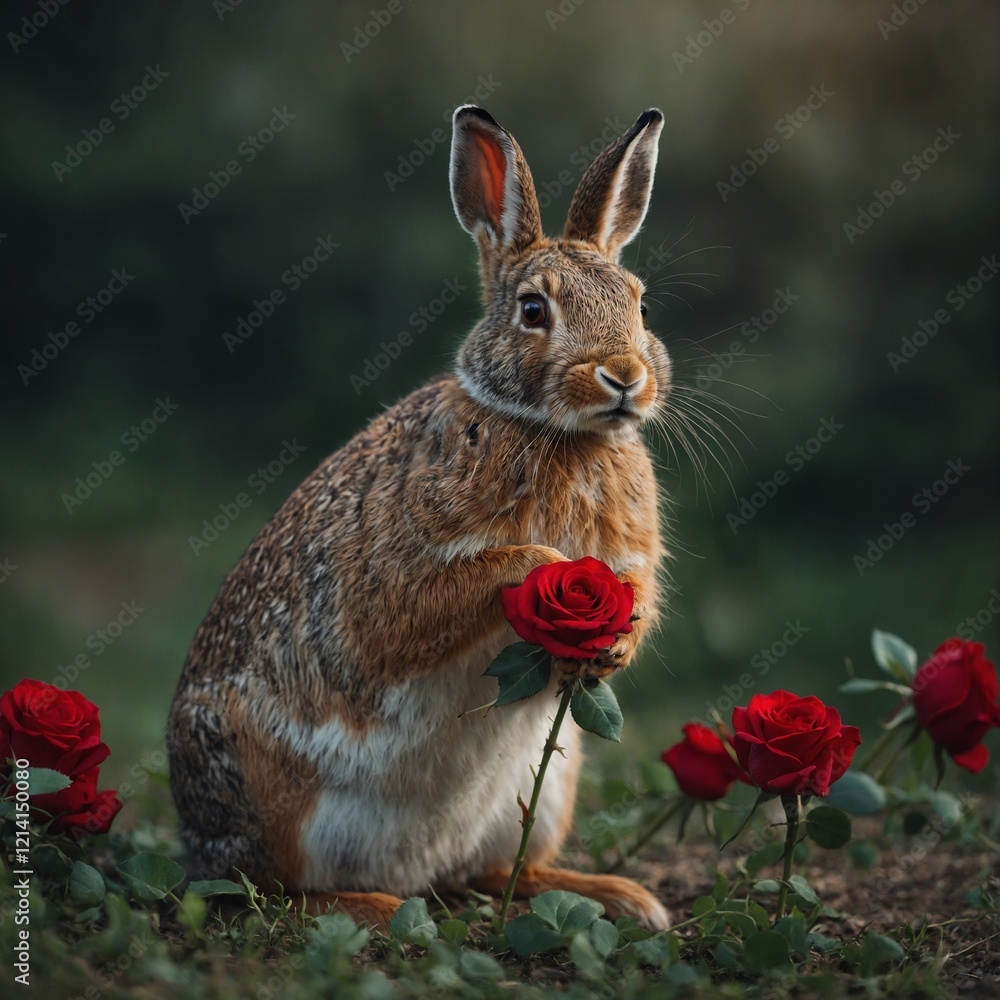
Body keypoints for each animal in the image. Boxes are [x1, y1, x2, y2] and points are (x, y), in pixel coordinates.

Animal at [168, 105, 671, 932]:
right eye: (534, 311)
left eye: (639, 302)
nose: (625, 377)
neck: (552, 431)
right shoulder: (393, 582)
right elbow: (451, 591)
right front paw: (552, 569)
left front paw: (617, 642)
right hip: (271, 795)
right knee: (270, 889)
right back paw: (372, 906)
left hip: (549, 787)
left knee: (500, 871)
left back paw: (618, 897)